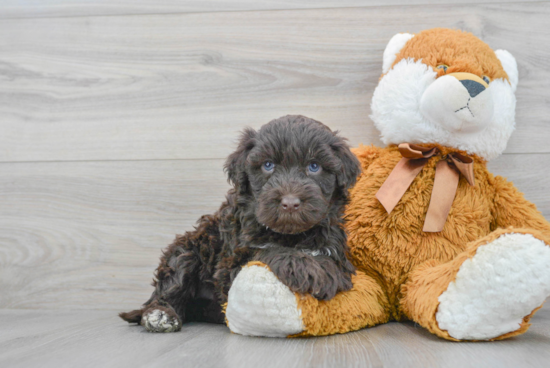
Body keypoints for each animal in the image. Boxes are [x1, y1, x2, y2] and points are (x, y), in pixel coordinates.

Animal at [121, 115, 362, 334]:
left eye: (314, 166)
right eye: (268, 165)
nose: (290, 202)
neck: (291, 236)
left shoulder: (334, 243)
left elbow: (333, 262)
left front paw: (326, 271)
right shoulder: (231, 263)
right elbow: (266, 251)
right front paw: (307, 268)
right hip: (187, 250)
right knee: (168, 288)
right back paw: (160, 315)